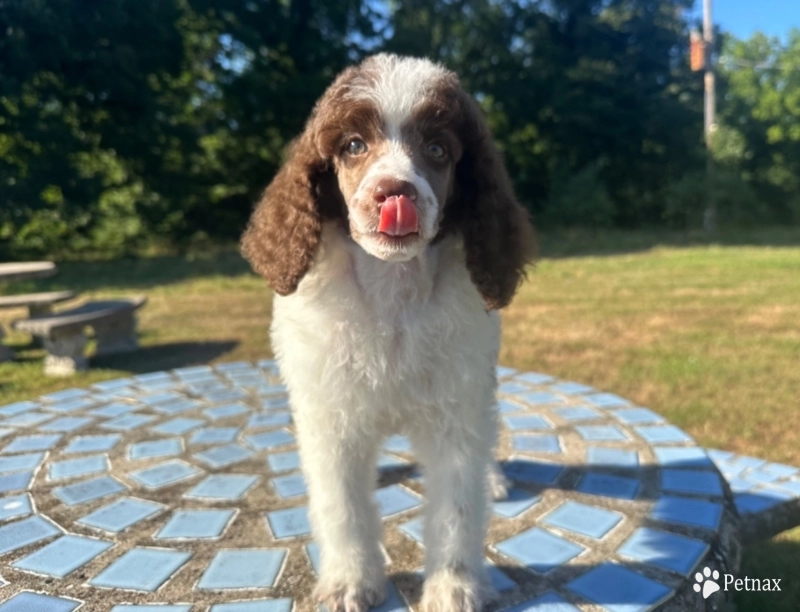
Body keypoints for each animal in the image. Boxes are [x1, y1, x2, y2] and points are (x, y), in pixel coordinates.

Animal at [241, 52, 536, 612]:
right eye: (354, 146)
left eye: (438, 150)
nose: (394, 193)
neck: (393, 291)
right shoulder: (329, 418)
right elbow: (342, 507)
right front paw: (349, 582)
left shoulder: (456, 411)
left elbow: (458, 507)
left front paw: (454, 587)